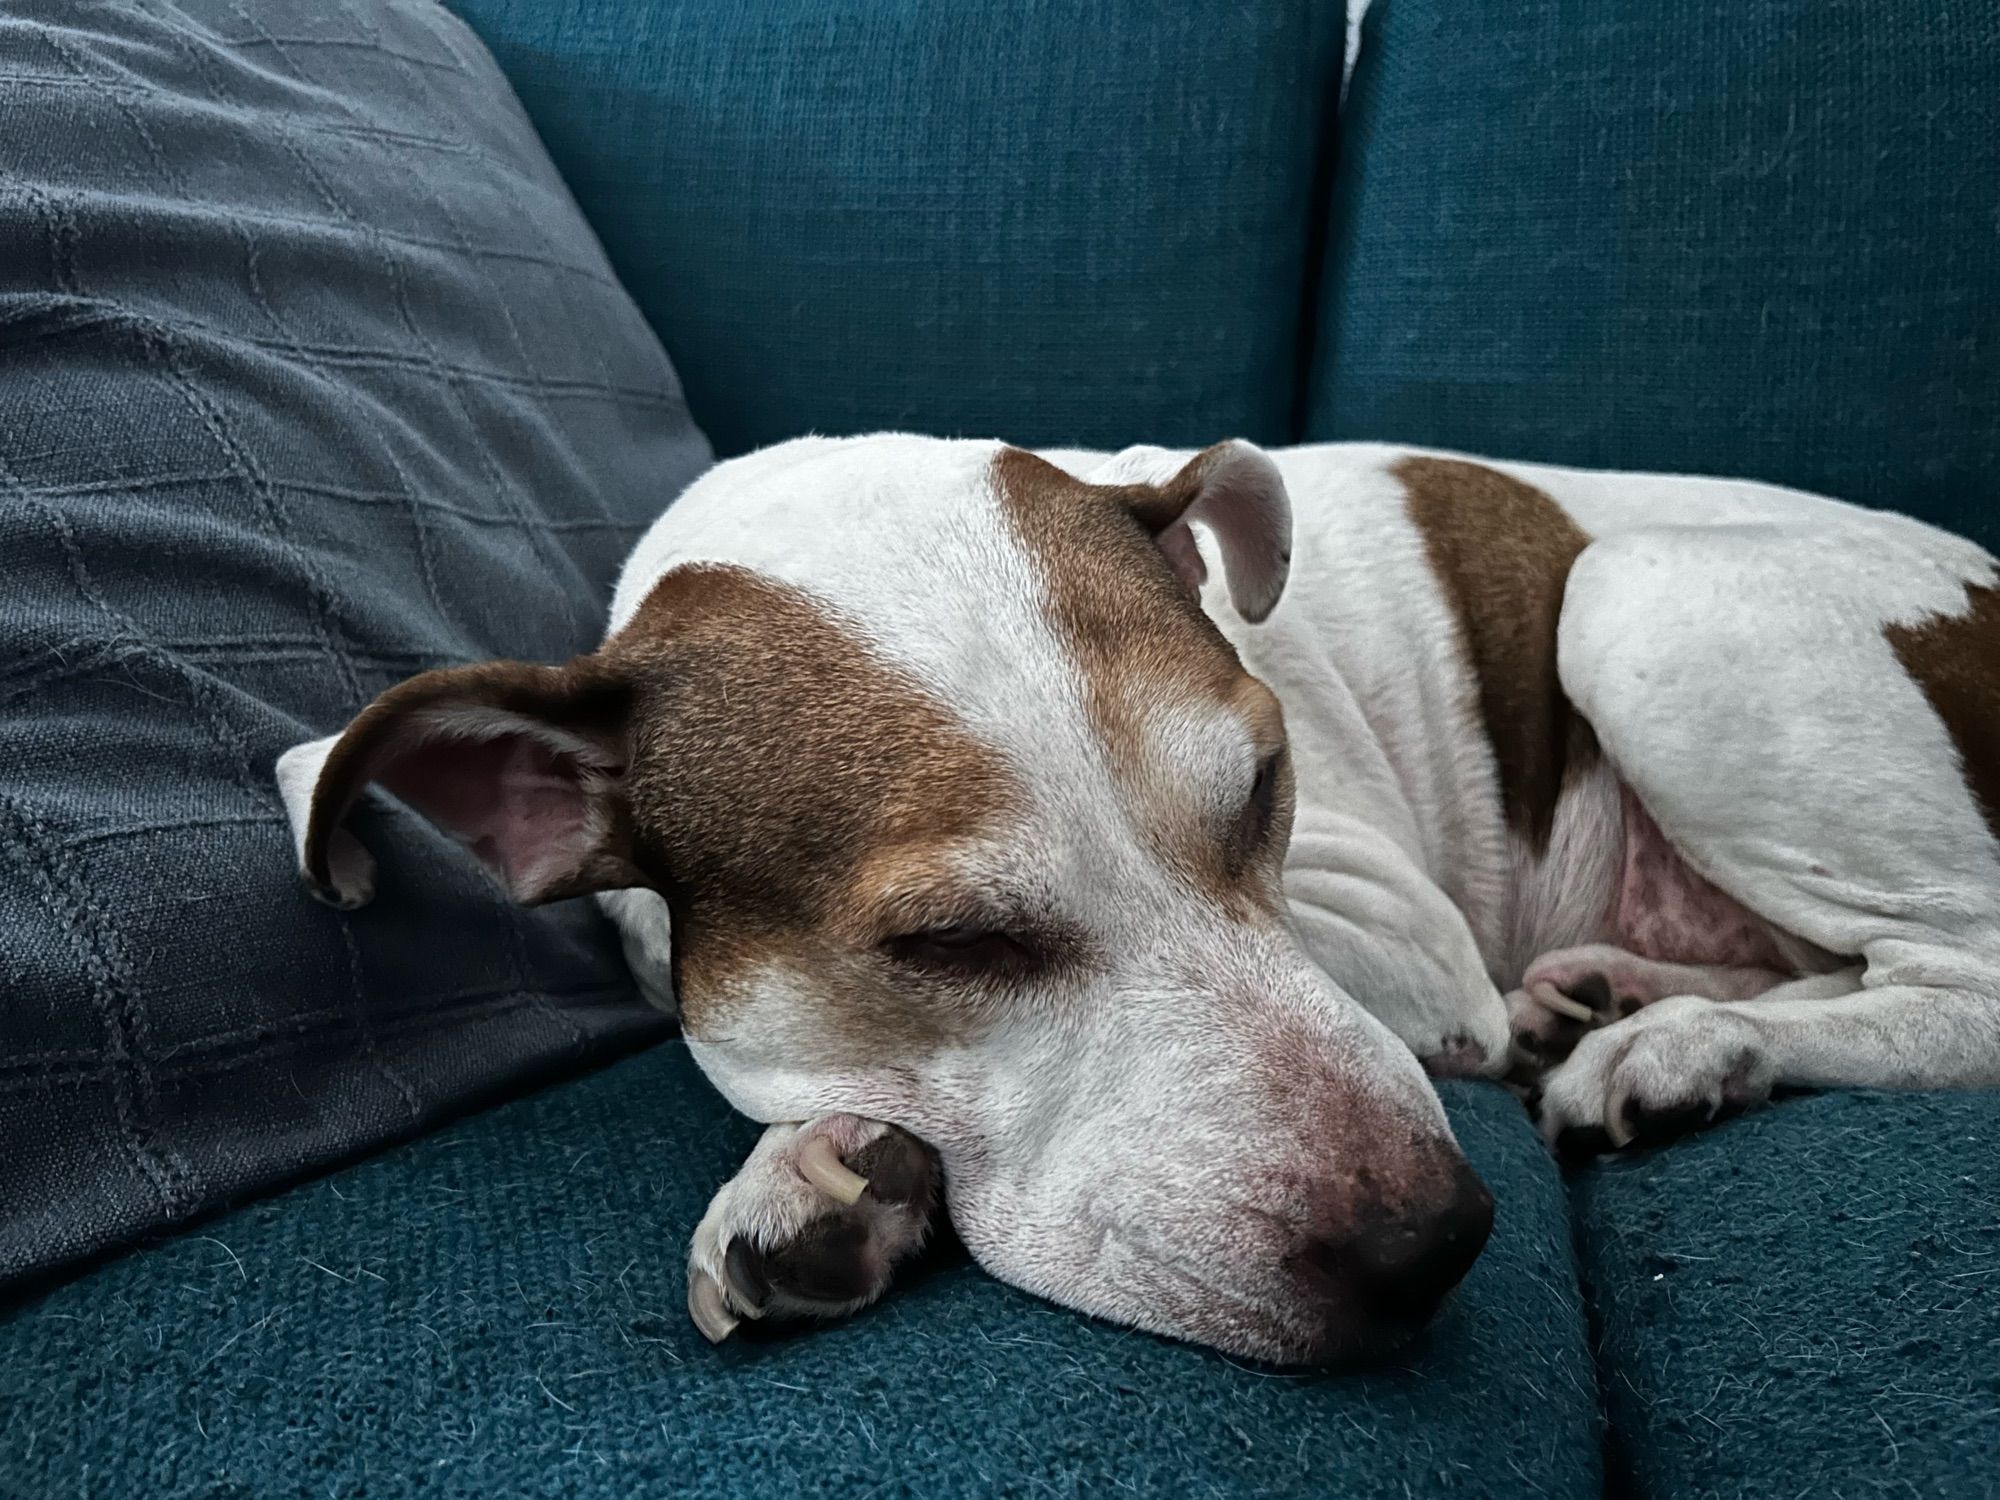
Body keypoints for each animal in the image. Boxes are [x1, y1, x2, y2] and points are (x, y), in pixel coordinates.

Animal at [270, 434, 2000, 1360]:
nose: (1430, 1247)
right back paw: (1625, 999)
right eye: (950, 942)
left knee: (1962, 983)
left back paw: (1682, 1048)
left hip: (1642, 602)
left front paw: (805, 1166)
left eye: (1267, 787)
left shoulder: (1401, 929)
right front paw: (837, 1167)